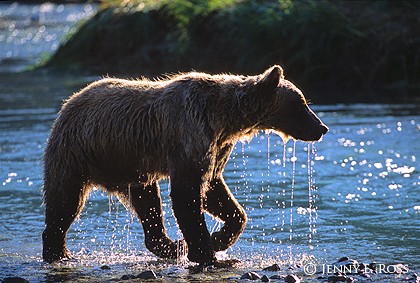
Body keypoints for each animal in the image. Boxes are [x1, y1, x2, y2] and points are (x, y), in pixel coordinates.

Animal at [41, 66, 328, 266]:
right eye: (302, 103)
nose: (322, 127)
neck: (223, 119)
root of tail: (68, 103)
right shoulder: (190, 134)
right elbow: (187, 195)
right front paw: (208, 252)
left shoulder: (216, 147)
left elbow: (215, 191)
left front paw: (219, 238)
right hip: (77, 152)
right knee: (65, 201)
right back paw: (59, 252)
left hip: (130, 166)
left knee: (148, 203)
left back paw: (171, 245)